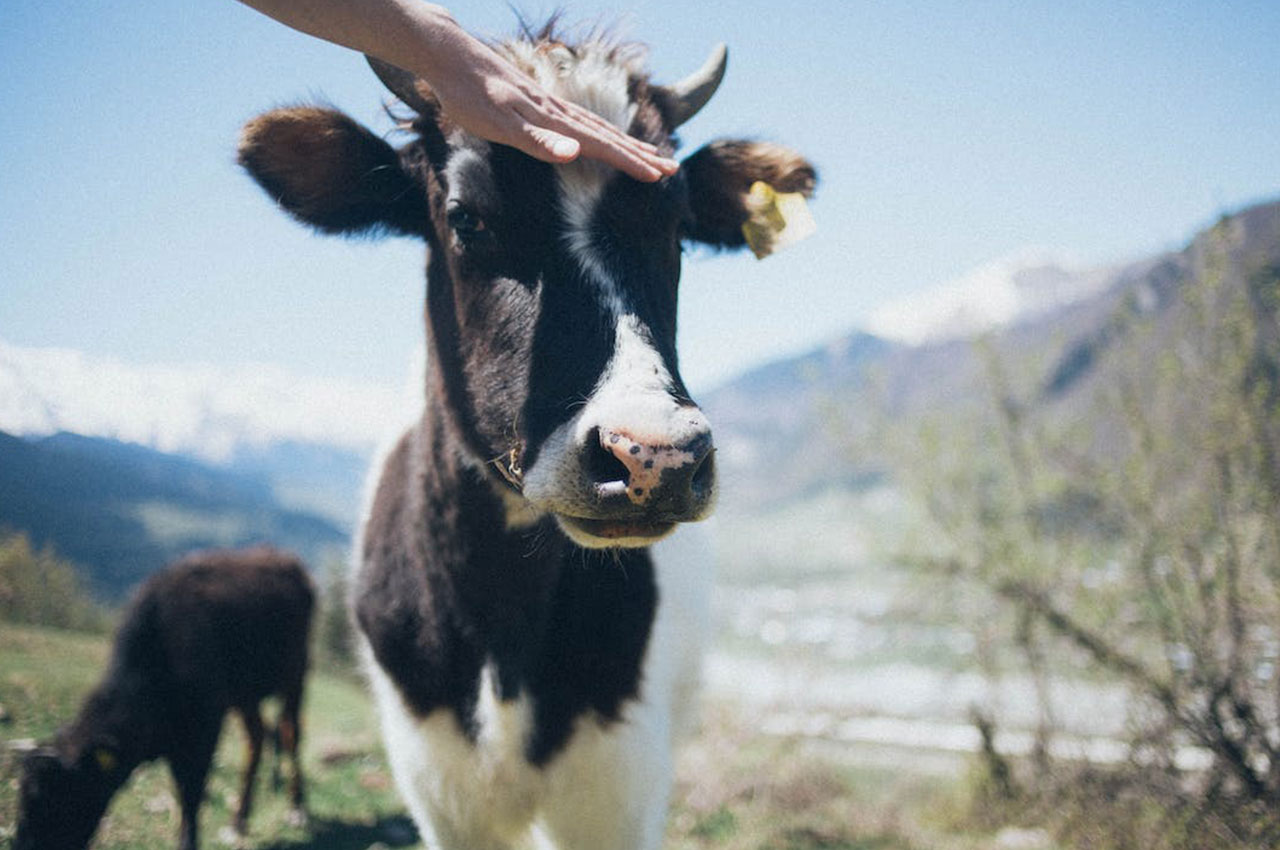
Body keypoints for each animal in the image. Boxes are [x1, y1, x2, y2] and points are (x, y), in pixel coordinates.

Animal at [15, 547, 317, 844]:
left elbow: (191, 793)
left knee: (290, 733)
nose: (21, 844)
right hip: (245, 694)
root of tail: (286, 560)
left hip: (295, 674)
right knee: (257, 737)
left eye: (58, 799)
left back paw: (297, 810)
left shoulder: (204, 728)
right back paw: (238, 821)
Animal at [235, 23, 814, 850]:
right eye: (466, 217)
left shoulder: (619, 787)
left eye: (676, 225)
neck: (501, 622)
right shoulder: (438, 789)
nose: (657, 456)